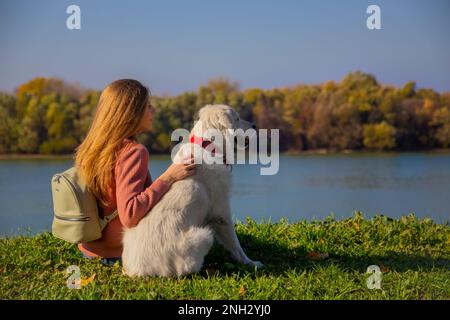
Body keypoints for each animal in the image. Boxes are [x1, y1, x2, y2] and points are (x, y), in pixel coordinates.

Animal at [122, 104, 264, 276]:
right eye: (237, 118)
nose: (254, 125)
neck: (209, 147)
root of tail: (134, 270)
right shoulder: (221, 211)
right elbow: (235, 244)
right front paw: (250, 263)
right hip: (203, 236)